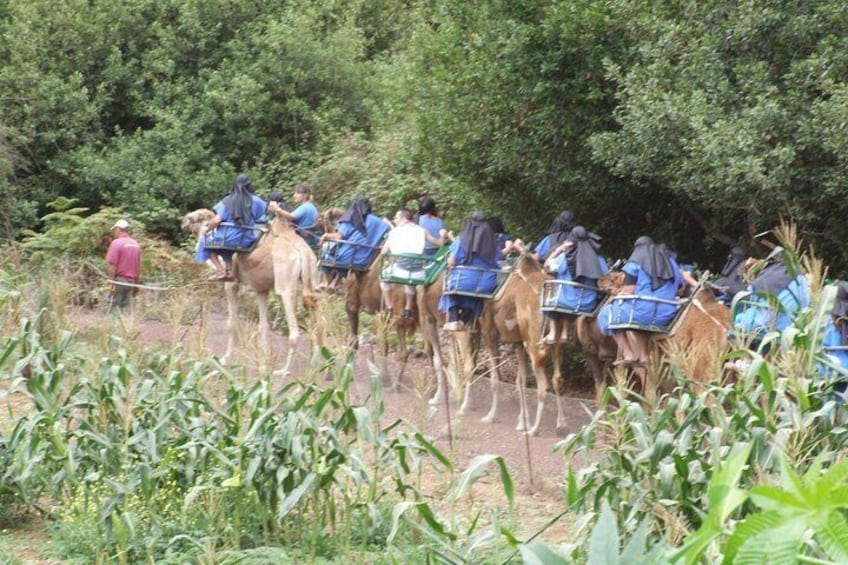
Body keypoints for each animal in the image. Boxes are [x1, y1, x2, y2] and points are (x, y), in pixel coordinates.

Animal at [181, 209, 320, 364]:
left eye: (194, 218)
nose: (183, 222)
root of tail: (303, 252)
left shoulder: (231, 284)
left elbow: (231, 324)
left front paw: (225, 359)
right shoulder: (262, 289)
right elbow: (263, 326)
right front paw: (264, 364)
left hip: (285, 282)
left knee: (294, 332)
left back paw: (283, 370)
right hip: (312, 277)